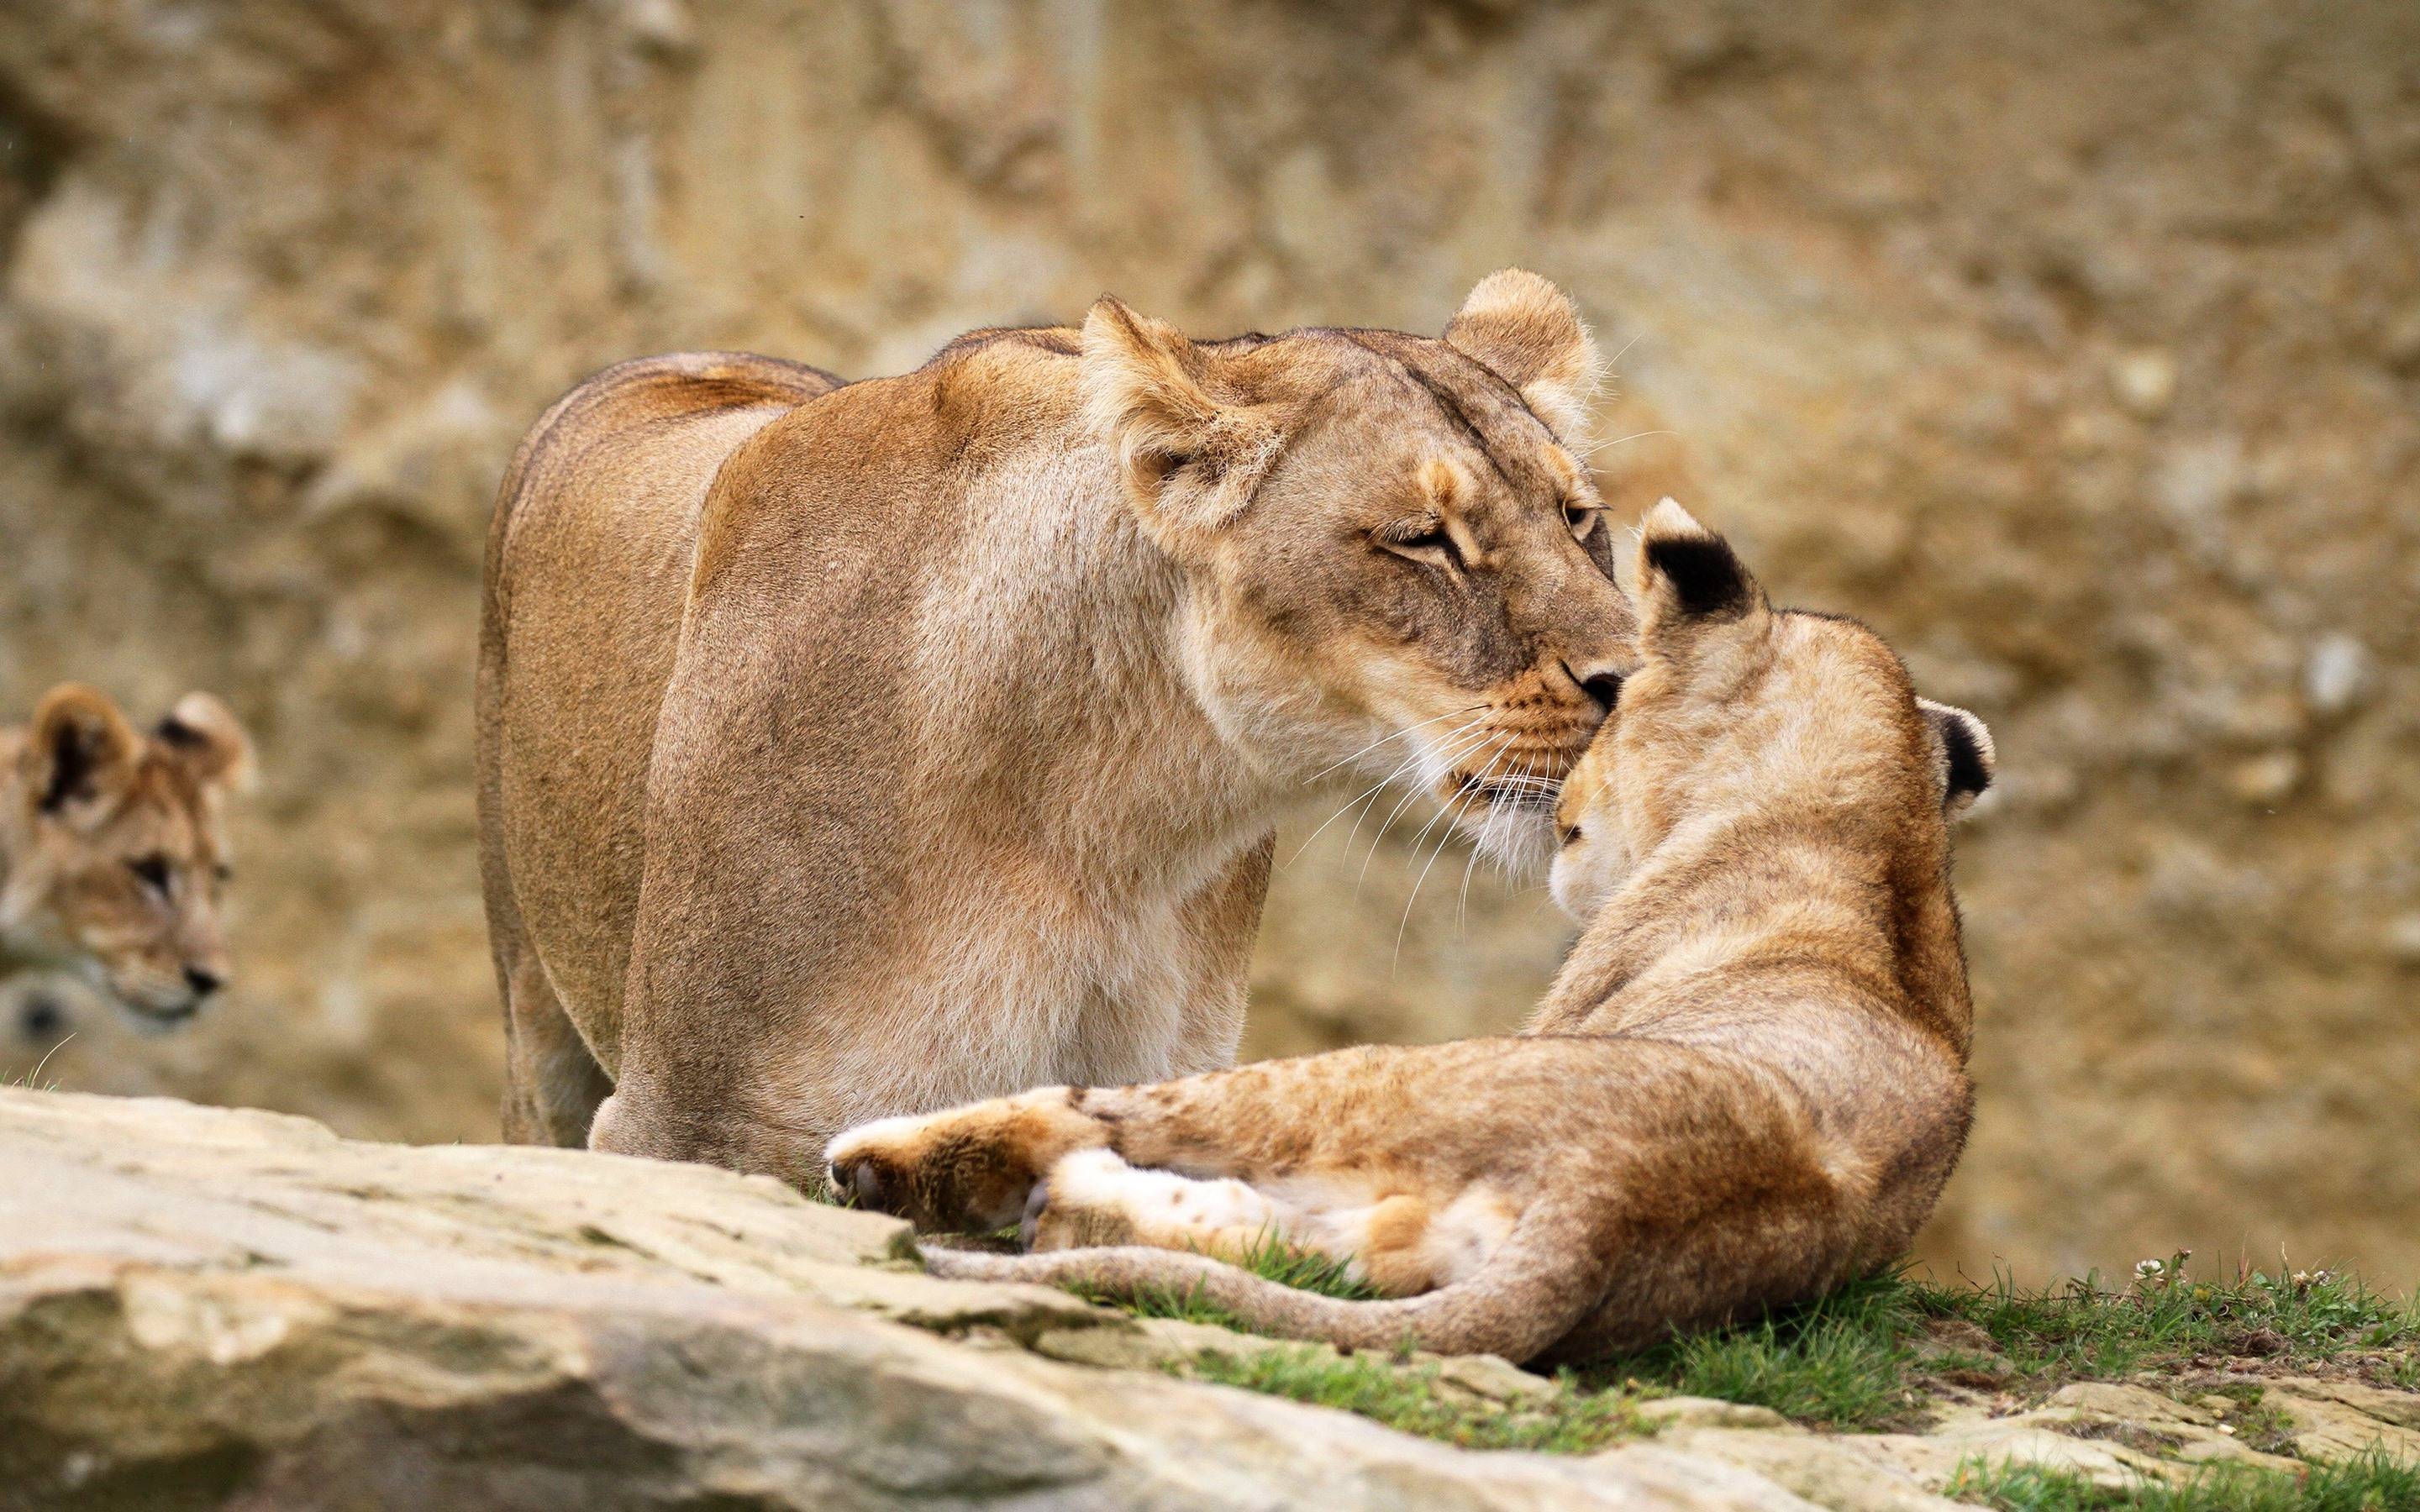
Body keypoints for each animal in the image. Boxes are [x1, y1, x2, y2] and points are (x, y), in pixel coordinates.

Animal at [825, 501, 1996, 1364]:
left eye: (1617, 707)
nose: (1567, 796)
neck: (1877, 831)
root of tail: (1617, 1202)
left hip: (1379, 1074)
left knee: (1110, 1113)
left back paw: (892, 1164)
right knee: (1334, 1255)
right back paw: (1075, 1211)